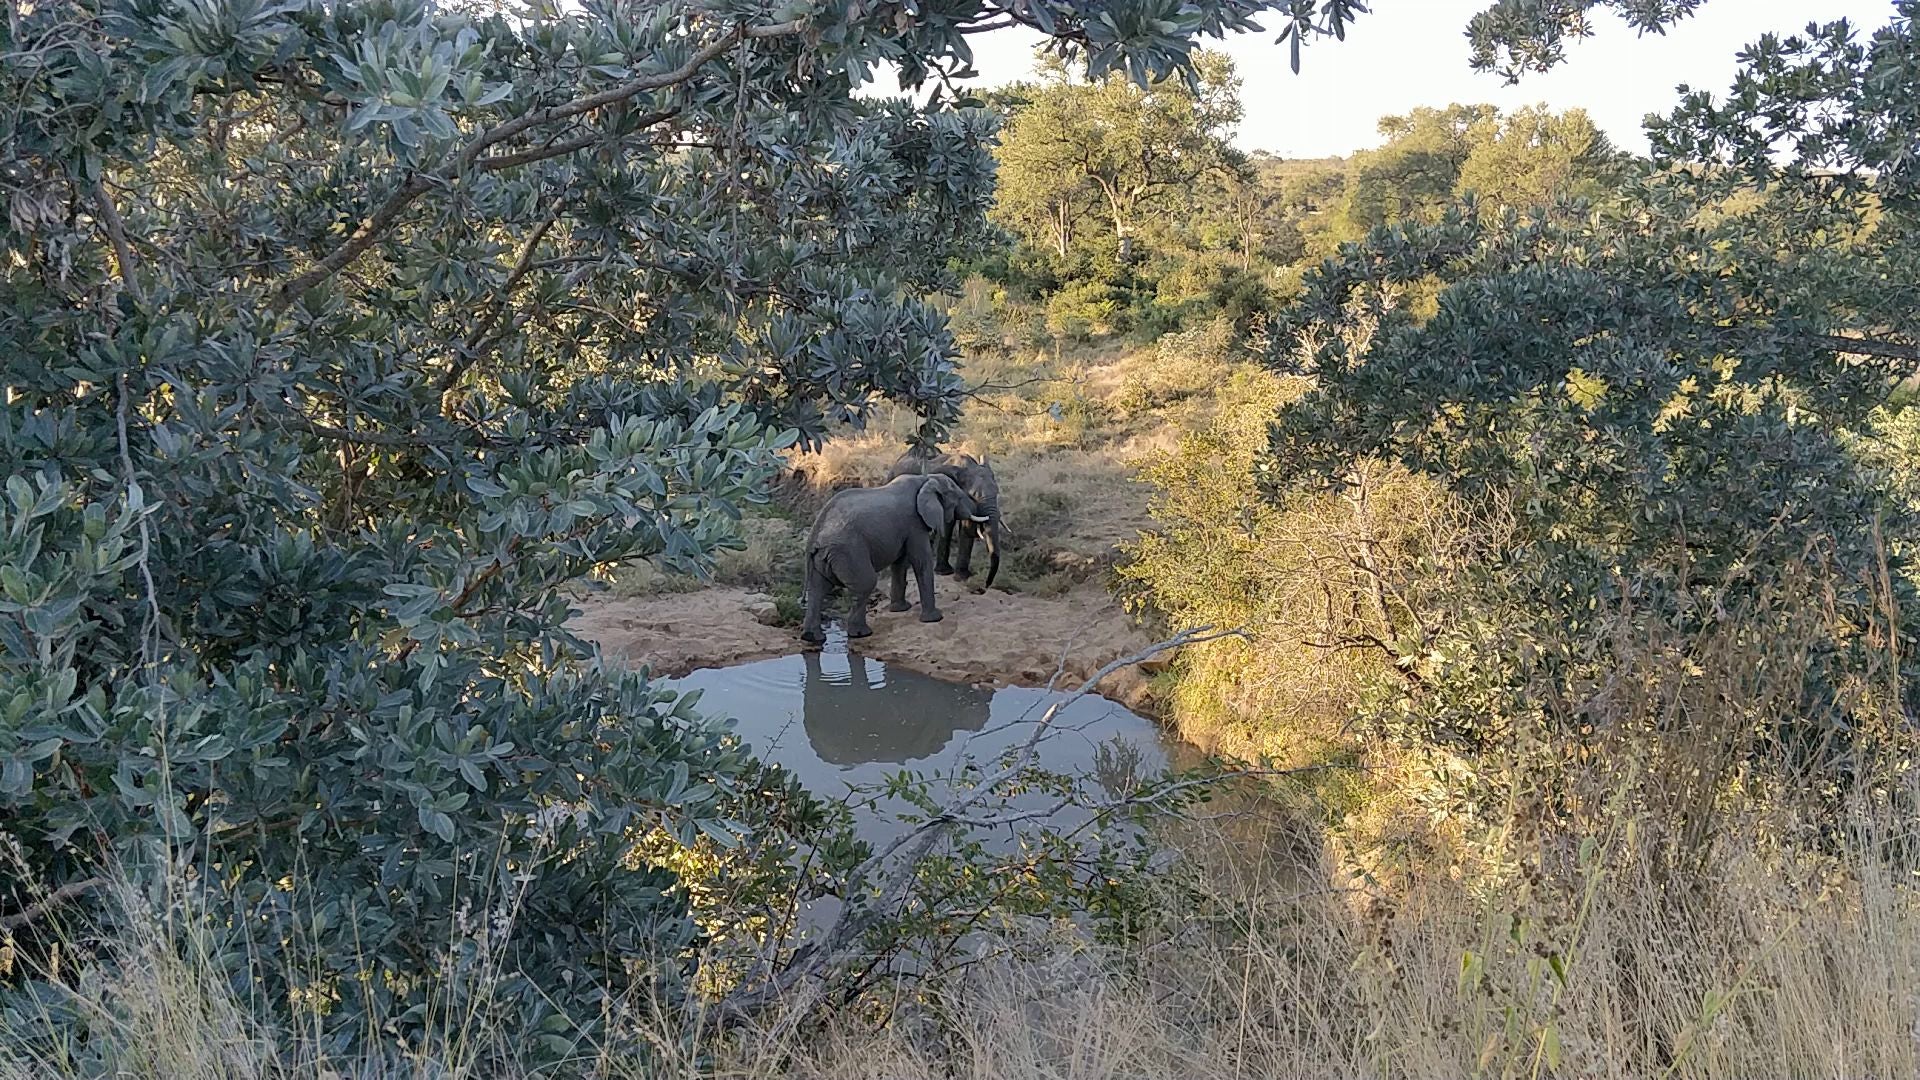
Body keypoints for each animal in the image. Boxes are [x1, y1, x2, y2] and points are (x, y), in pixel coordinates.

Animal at [798, 468, 990, 638]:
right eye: (958, 496)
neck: (926, 479)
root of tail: (814, 536)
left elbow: (900, 563)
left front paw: (900, 609)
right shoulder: (915, 523)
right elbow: (921, 561)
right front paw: (935, 618)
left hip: (823, 557)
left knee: (817, 589)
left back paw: (812, 637)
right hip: (848, 551)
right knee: (865, 583)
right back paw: (861, 634)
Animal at [887, 445, 1006, 588]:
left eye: (997, 492)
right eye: (973, 495)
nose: (986, 585)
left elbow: (966, 528)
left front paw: (962, 577)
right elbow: (948, 524)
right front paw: (944, 572)